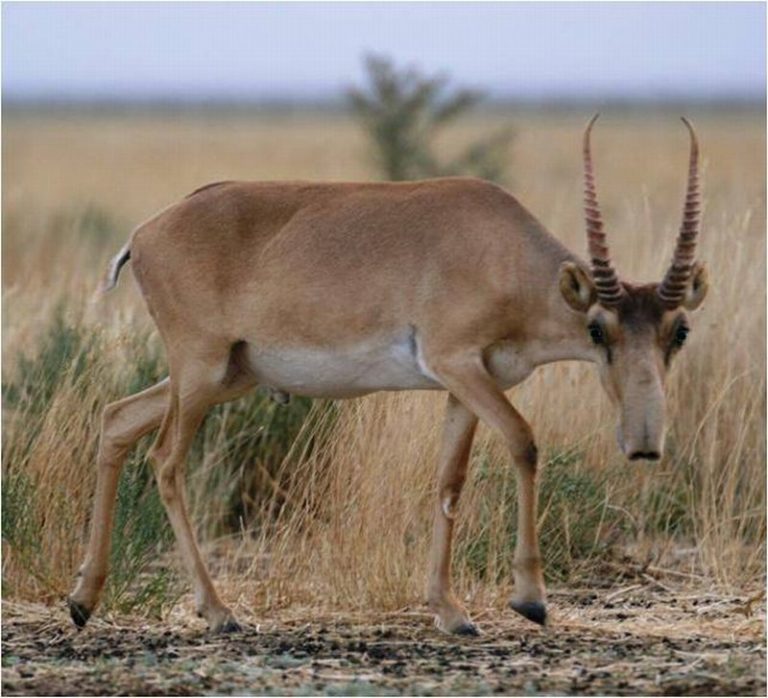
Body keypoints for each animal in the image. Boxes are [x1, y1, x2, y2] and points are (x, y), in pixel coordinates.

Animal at [68, 116, 708, 635]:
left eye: (678, 331)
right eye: (598, 329)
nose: (644, 443)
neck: (503, 249)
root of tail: (143, 234)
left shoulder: (467, 386)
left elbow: (450, 481)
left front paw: (451, 612)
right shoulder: (457, 364)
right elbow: (524, 443)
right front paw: (530, 600)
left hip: (226, 376)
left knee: (116, 420)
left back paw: (83, 601)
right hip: (199, 374)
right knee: (165, 461)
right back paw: (220, 613)